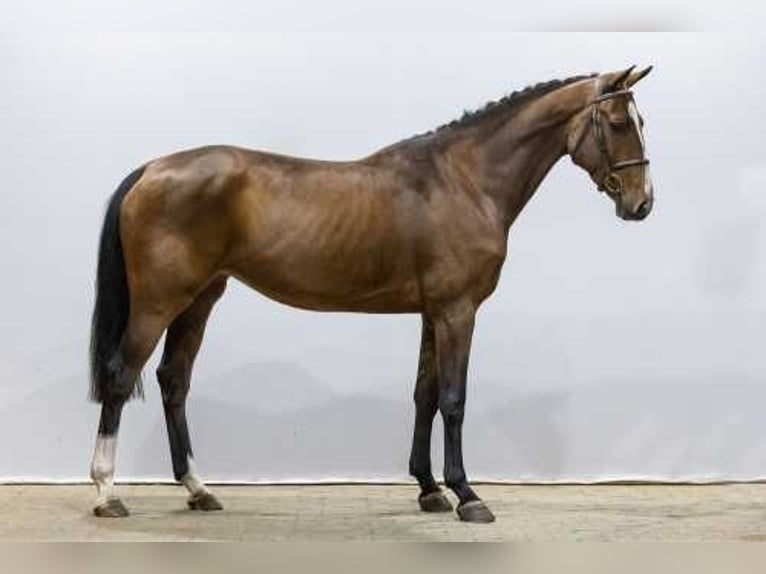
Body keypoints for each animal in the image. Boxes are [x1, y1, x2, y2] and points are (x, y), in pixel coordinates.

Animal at [88, 65, 656, 524]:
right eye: (619, 123)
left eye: (640, 122)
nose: (642, 203)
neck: (465, 180)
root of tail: (152, 168)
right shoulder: (458, 312)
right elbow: (454, 400)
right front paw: (468, 496)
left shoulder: (433, 313)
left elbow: (425, 394)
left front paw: (429, 490)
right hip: (160, 302)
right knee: (120, 377)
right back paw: (107, 494)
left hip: (201, 298)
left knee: (172, 380)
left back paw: (198, 490)